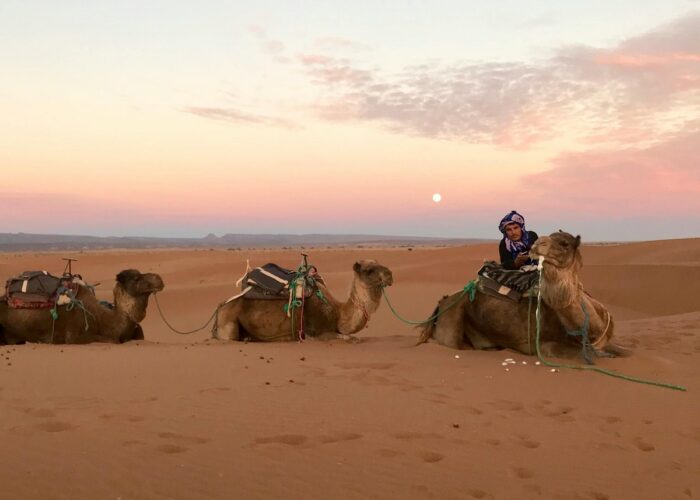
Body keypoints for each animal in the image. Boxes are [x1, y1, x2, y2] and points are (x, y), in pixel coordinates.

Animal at [213, 260, 394, 342]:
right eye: (369, 270)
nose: (390, 275)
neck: (338, 313)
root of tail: (221, 307)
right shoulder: (316, 332)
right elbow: (350, 338)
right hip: (228, 322)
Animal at [418, 231, 628, 360]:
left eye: (564, 243)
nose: (537, 243)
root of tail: (443, 300)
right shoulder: (542, 346)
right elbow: (590, 354)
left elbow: (625, 352)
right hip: (452, 320)